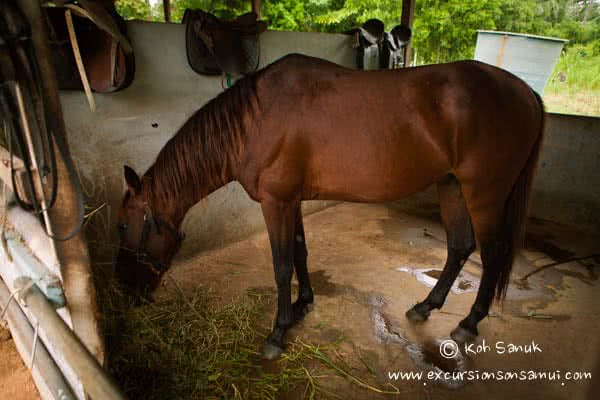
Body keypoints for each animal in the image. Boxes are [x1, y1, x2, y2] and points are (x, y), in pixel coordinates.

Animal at [116, 54, 544, 360]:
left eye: (121, 226)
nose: (126, 292)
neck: (254, 122)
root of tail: (526, 93)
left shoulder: (275, 203)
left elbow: (281, 264)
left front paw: (277, 332)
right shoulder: (291, 201)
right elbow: (300, 253)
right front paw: (302, 305)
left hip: (485, 194)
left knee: (492, 254)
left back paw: (469, 323)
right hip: (452, 186)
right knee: (458, 247)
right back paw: (425, 307)